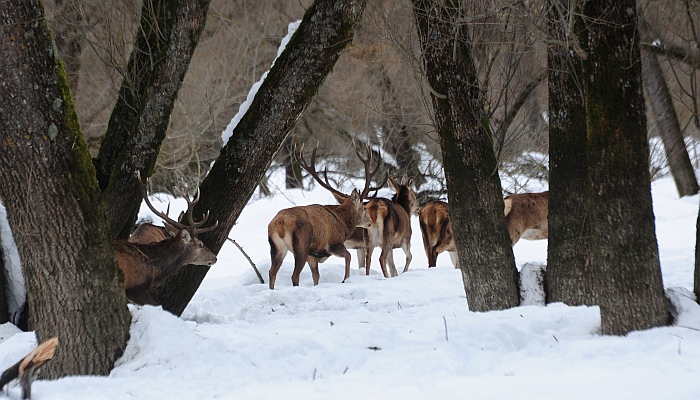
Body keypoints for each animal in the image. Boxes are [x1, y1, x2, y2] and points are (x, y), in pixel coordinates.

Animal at [266, 144, 380, 290]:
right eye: (364, 208)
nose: (370, 222)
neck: (343, 223)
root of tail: (280, 223)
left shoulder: (312, 255)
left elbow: (316, 276)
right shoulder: (334, 243)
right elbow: (348, 256)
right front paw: (345, 280)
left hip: (277, 247)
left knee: (272, 272)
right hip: (301, 245)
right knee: (294, 275)